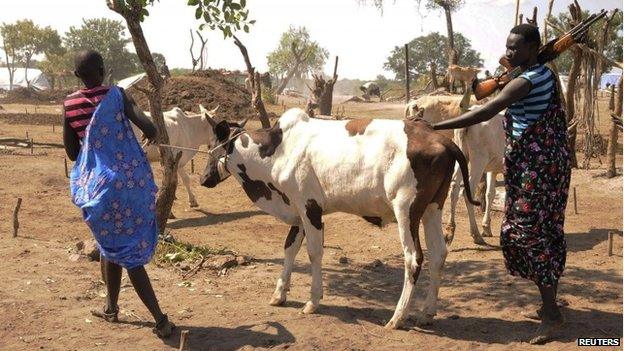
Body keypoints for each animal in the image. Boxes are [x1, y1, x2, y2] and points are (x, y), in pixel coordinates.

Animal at [200, 107, 478, 330]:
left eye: (212, 147)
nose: (203, 179)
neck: (279, 149)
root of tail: (439, 138)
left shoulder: (310, 207)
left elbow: (314, 252)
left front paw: (313, 300)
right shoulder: (298, 211)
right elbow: (290, 248)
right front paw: (279, 293)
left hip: (406, 210)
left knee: (414, 258)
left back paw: (397, 318)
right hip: (432, 208)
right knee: (439, 253)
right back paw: (426, 313)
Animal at [444, 111, 508, 246]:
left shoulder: (492, 170)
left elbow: (490, 194)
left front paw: (486, 226)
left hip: (462, 156)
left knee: (454, 188)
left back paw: (450, 230)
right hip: (479, 160)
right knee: (467, 191)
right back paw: (476, 234)